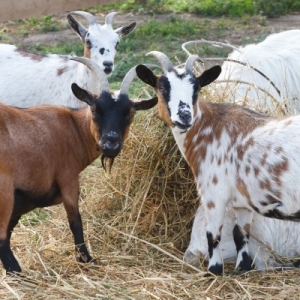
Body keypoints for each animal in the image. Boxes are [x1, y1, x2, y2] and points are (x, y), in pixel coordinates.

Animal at [0, 57, 158, 274]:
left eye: (131, 113)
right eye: (95, 109)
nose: (110, 144)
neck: (74, 129)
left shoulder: (25, 196)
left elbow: (11, 227)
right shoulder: (67, 179)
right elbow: (75, 221)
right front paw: (86, 258)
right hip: (4, 189)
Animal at [138, 50, 300, 276]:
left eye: (196, 88)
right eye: (162, 87)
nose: (185, 116)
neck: (210, 127)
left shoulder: (214, 195)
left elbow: (213, 237)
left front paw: (214, 272)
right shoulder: (243, 202)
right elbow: (241, 235)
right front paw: (241, 269)